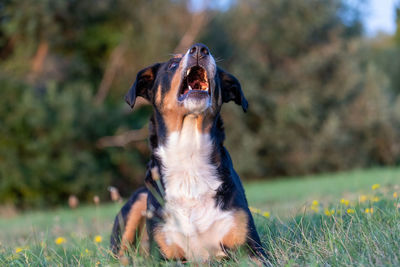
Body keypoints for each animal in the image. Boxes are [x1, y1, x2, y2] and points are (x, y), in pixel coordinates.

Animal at [110, 44, 268, 266]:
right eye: (172, 64)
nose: (200, 49)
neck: (189, 155)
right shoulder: (165, 256)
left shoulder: (252, 249)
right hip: (137, 203)